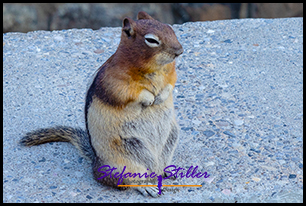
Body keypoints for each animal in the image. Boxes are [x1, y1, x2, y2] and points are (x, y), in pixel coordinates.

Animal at [21, 11, 184, 198]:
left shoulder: (171, 73)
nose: (180, 51)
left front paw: (161, 96)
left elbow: (171, 83)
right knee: (128, 180)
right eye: (151, 40)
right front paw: (149, 98)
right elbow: (128, 93)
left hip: (170, 141)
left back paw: (169, 170)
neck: (155, 69)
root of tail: (96, 162)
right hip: (125, 160)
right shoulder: (114, 81)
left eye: (170, 28)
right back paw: (147, 186)